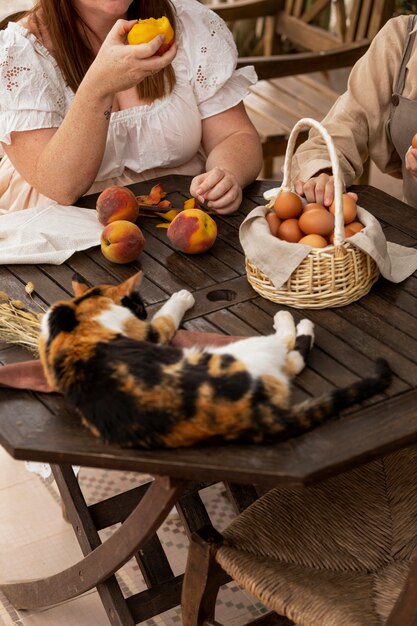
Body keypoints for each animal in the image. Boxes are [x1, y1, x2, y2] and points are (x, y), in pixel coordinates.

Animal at [38, 270, 390, 446]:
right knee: (289, 352)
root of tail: (256, 416)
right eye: (138, 306)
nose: (142, 309)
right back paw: (293, 321)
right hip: (242, 352)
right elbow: (167, 317)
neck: (79, 309)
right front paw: (181, 297)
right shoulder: (152, 333)